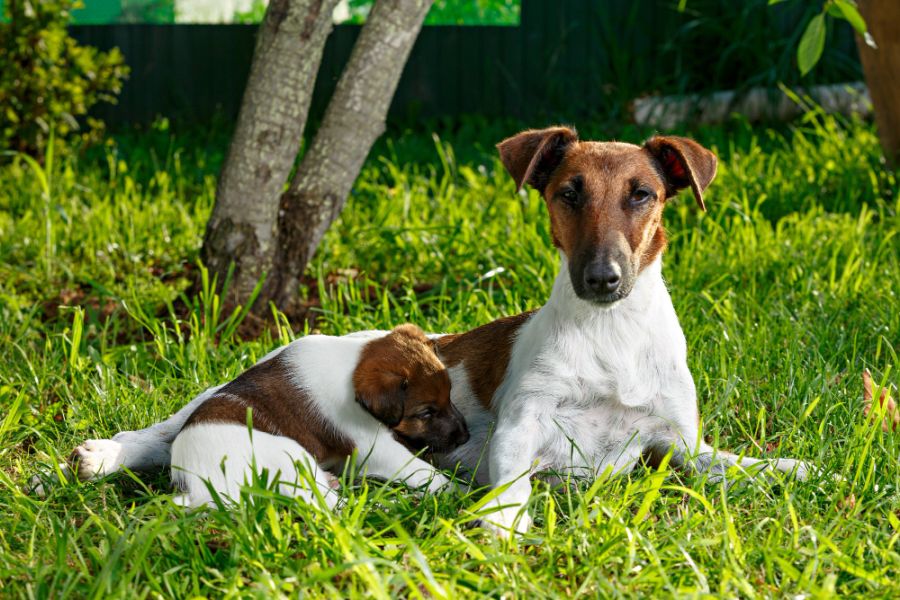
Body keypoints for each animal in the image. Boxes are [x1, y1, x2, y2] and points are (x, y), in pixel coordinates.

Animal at [67, 324, 468, 506]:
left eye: (450, 397)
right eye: (426, 412)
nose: (465, 435)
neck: (351, 364)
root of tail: (196, 488)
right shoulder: (374, 446)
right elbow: (426, 474)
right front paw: (460, 494)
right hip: (293, 458)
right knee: (330, 505)